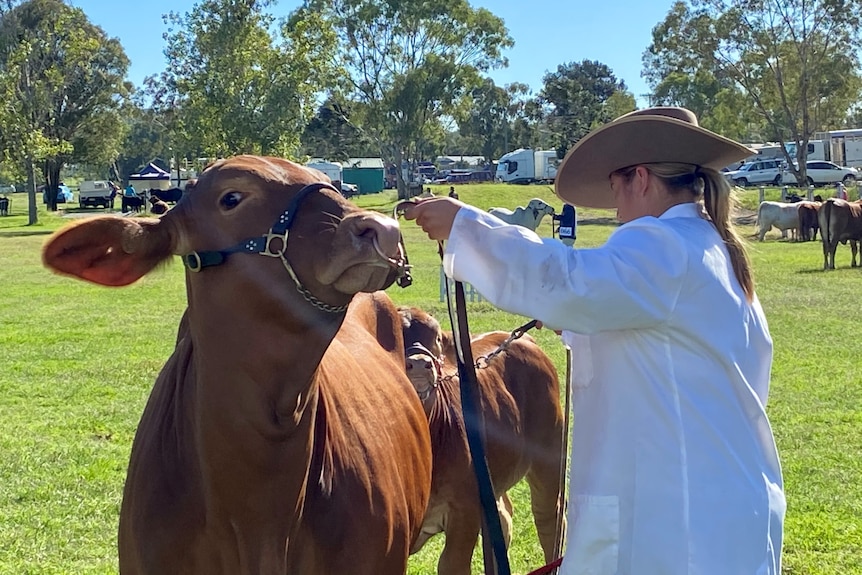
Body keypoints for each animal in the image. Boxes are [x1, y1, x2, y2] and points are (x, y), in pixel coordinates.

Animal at [400, 306, 568, 575]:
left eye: (436, 338)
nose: (418, 364)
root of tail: (516, 336)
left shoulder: (464, 516)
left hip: (549, 454)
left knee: (550, 520)